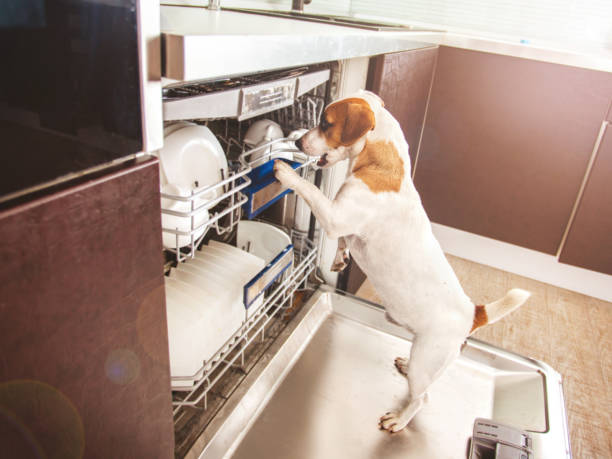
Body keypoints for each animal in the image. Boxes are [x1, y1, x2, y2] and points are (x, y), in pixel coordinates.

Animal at [274, 90, 532, 434]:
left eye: (325, 123)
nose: (299, 142)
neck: (381, 162)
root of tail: (472, 313)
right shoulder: (344, 224)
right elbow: (344, 242)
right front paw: (341, 259)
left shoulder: (335, 216)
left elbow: (312, 190)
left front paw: (286, 173)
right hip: (428, 356)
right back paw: (405, 366)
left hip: (428, 358)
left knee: (422, 398)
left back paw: (399, 419)